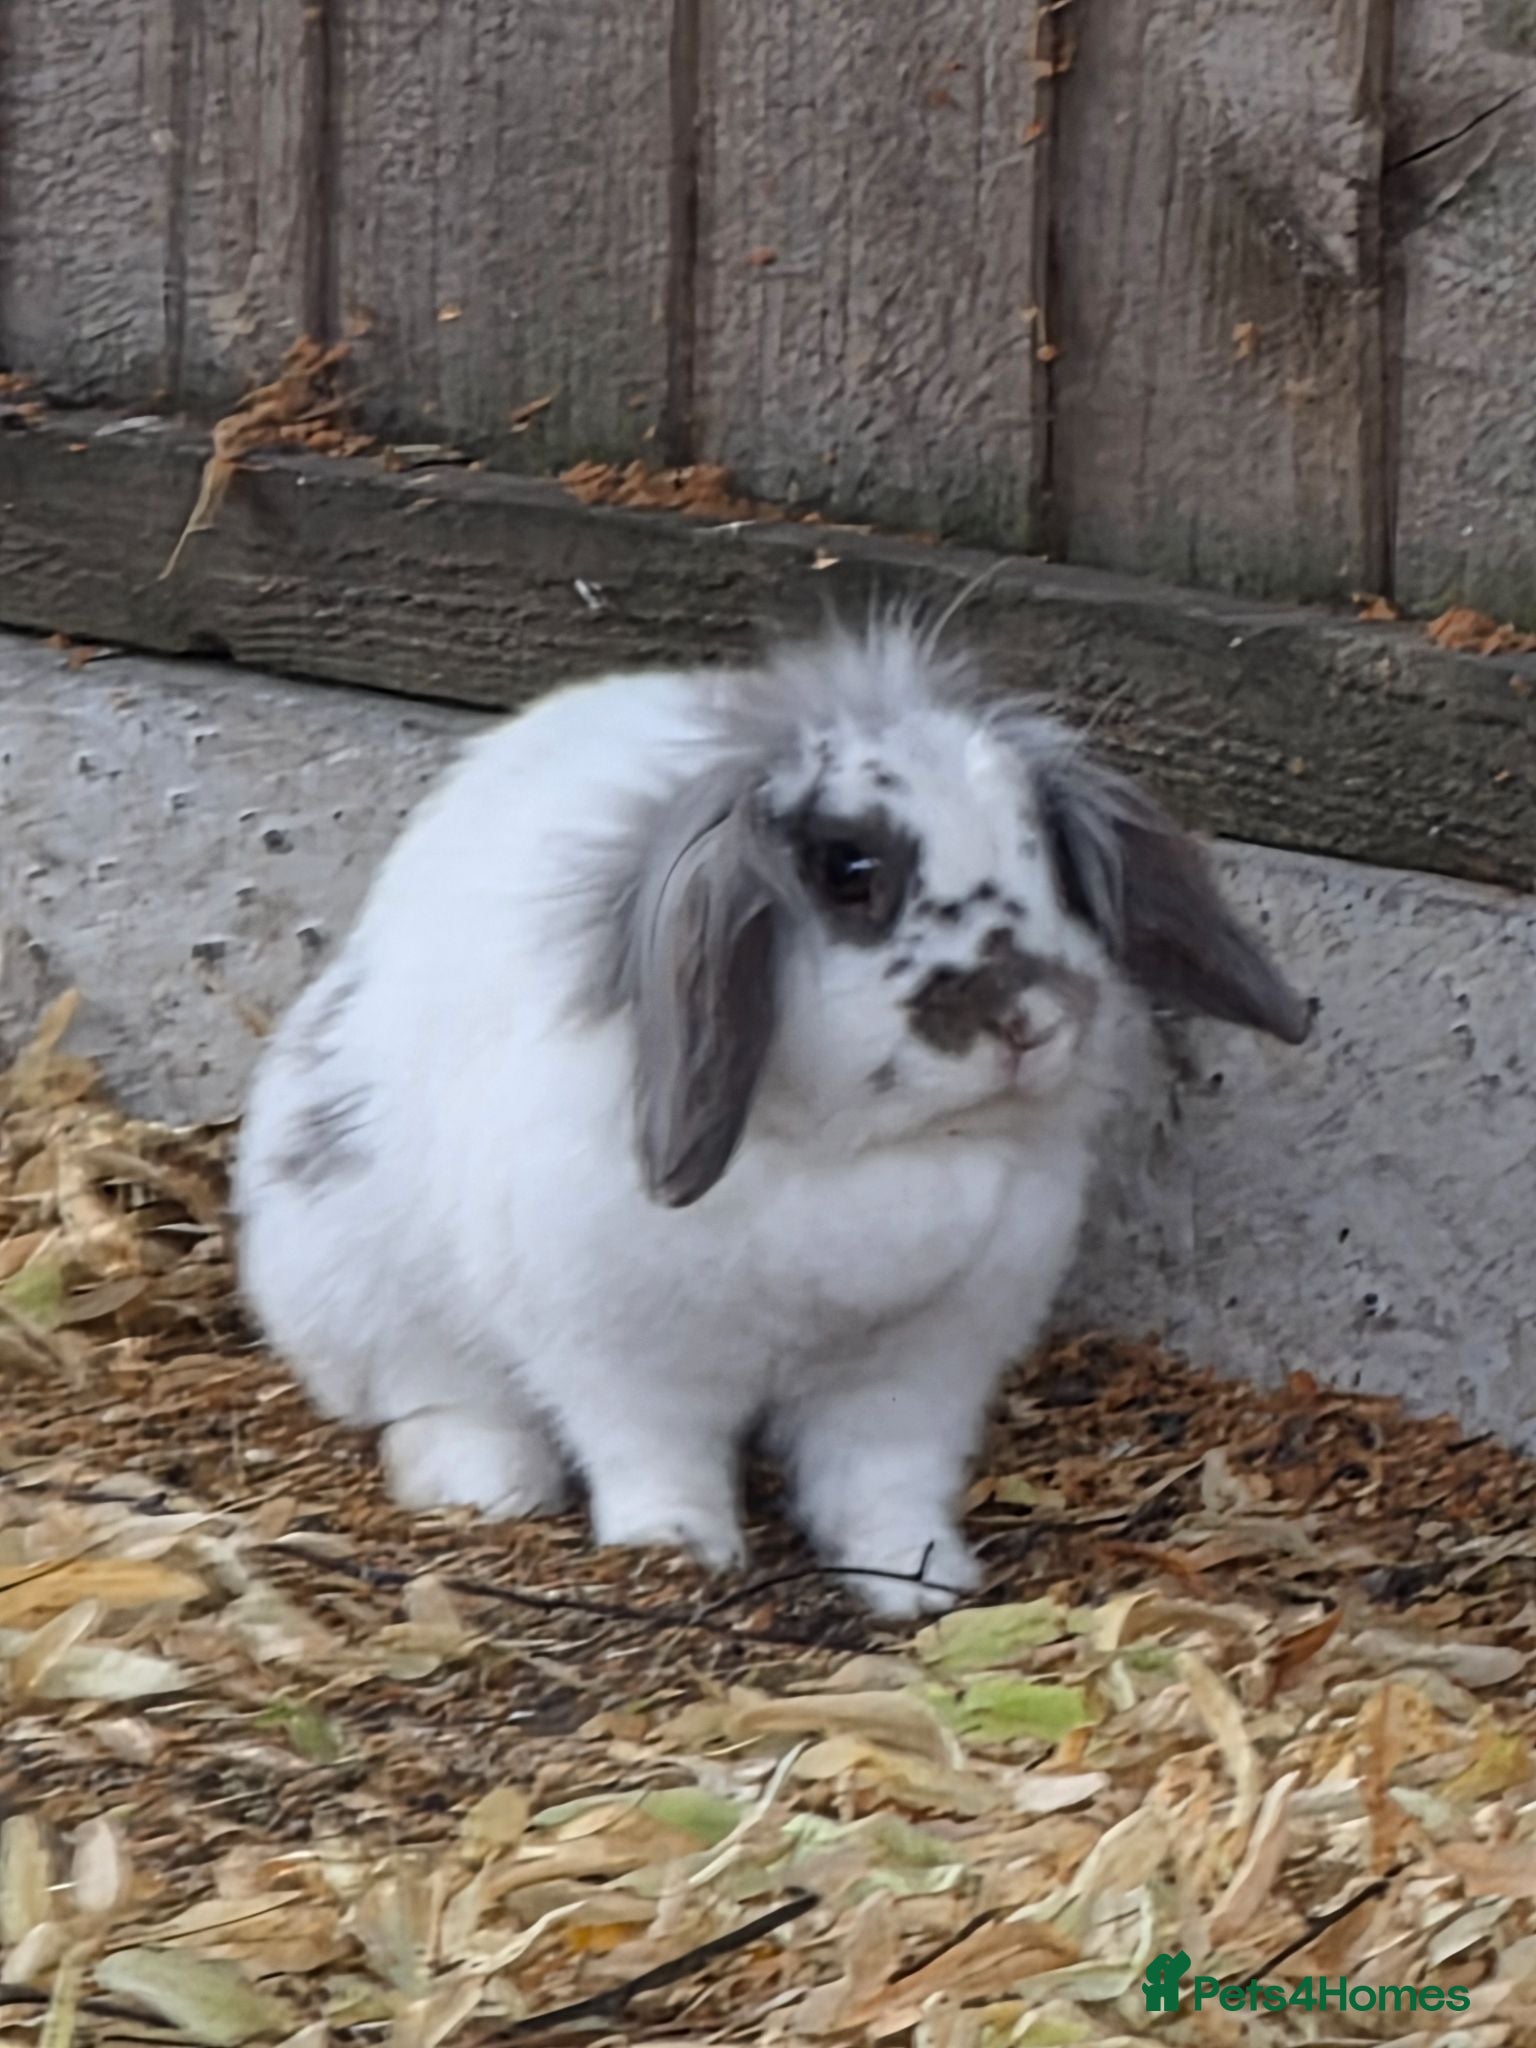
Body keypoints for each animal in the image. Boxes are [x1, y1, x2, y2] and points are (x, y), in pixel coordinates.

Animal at [234, 616, 1311, 1618]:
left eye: (1044, 852)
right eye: (849, 871)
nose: (1033, 1020)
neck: (859, 1154)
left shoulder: (917, 1374)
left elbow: (883, 1480)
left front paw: (922, 1579)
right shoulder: (626, 1357)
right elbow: (653, 1454)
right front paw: (677, 1551)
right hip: (355, 1272)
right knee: (432, 1396)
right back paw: (488, 1485)